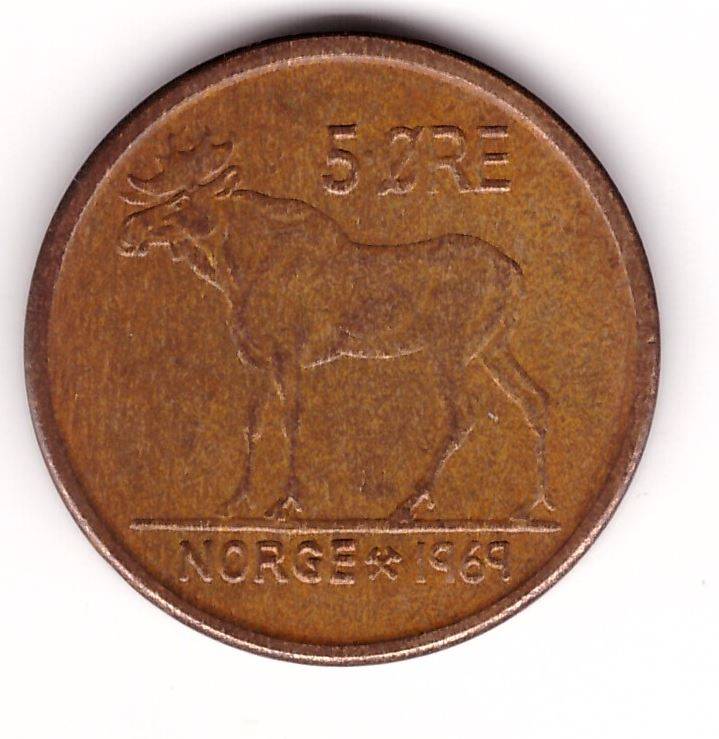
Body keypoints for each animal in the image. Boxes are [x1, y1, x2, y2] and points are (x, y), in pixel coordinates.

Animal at [118, 132, 554, 522]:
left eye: (180, 199)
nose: (129, 230)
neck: (237, 273)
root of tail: (517, 278)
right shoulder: (261, 361)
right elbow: (254, 423)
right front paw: (237, 500)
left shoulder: (288, 354)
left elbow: (290, 419)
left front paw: (286, 502)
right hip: (492, 348)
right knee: (535, 399)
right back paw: (534, 504)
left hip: (451, 349)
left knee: (466, 414)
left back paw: (410, 502)